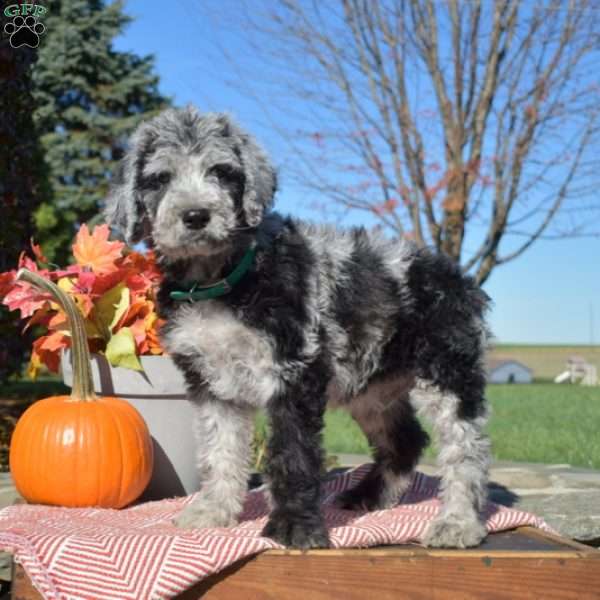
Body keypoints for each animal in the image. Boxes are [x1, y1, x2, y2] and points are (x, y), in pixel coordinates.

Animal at [106, 104, 492, 548]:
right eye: (160, 179)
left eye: (222, 171)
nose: (196, 216)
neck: (221, 278)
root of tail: (458, 278)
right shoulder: (211, 382)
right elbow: (219, 451)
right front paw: (213, 510)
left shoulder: (293, 370)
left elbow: (292, 455)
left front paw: (294, 527)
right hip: (371, 385)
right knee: (406, 440)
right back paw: (369, 495)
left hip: (447, 369)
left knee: (465, 448)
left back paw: (459, 522)